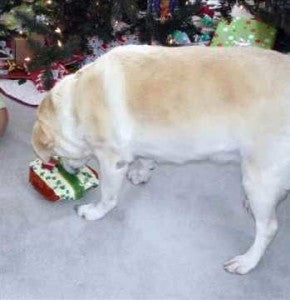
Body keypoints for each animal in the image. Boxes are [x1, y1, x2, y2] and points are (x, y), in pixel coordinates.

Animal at [31, 45, 290, 274]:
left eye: (56, 156)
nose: (68, 172)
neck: (75, 104)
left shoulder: (112, 162)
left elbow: (108, 197)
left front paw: (95, 211)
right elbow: (146, 157)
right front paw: (143, 171)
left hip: (259, 176)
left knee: (269, 227)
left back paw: (247, 261)